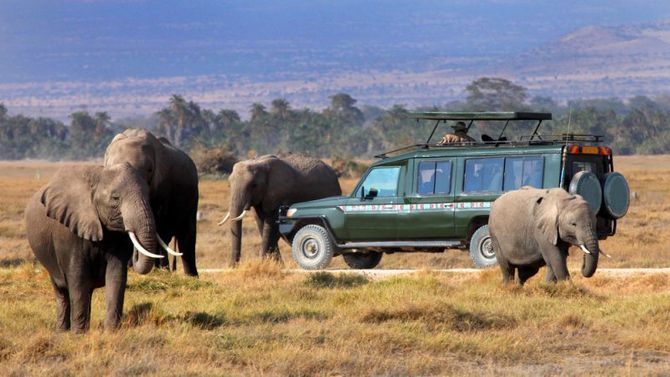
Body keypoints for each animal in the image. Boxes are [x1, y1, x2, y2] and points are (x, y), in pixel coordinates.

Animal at [25, 163, 177, 330]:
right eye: (115, 198)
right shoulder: (68, 233)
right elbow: (77, 278)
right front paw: (78, 333)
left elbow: (116, 276)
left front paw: (111, 331)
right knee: (62, 291)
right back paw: (62, 331)